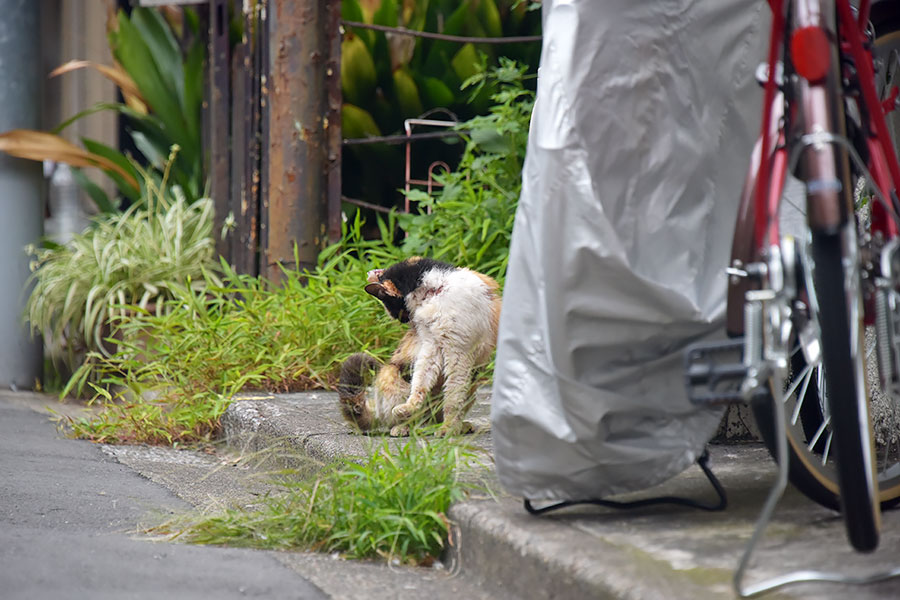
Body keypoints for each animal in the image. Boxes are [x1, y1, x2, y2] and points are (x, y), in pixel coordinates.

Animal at [340, 258, 502, 436]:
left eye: (395, 309)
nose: (405, 321)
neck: (436, 292)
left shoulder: (458, 352)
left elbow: (453, 398)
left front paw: (448, 429)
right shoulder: (431, 346)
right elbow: (420, 381)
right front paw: (409, 407)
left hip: (471, 386)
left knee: (435, 415)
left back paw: (456, 426)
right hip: (390, 374)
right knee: (402, 419)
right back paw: (403, 426)